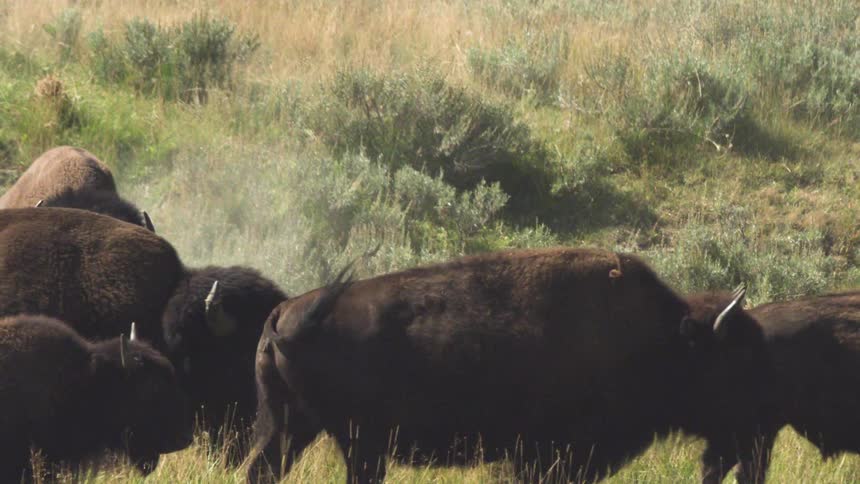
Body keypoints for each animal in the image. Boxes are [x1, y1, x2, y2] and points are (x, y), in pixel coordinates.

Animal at [245, 247, 763, 483]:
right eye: (729, 364)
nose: (749, 438)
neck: (658, 338)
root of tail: (284, 312)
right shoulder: (550, 454)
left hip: (292, 426)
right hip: (354, 440)